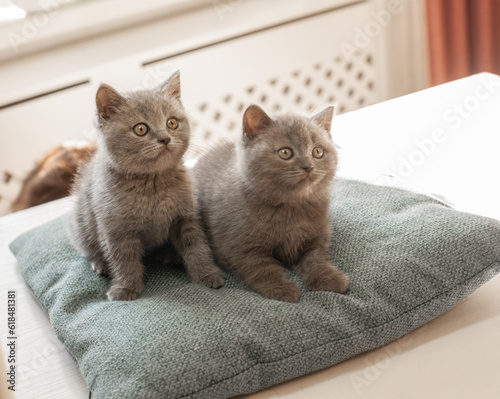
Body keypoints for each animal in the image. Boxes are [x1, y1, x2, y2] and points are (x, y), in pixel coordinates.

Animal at [70, 72, 225, 302]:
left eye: (172, 123)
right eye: (141, 129)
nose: (165, 138)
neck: (153, 184)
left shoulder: (185, 216)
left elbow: (196, 246)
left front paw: (207, 274)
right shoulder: (116, 228)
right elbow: (123, 259)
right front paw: (125, 288)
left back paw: (169, 255)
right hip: (81, 226)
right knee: (90, 248)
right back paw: (100, 264)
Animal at [193, 104, 350, 302]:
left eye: (318, 152)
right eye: (285, 152)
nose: (309, 167)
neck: (291, 209)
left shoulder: (317, 237)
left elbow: (317, 259)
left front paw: (329, 279)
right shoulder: (241, 247)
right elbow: (263, 270)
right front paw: (281, 289)